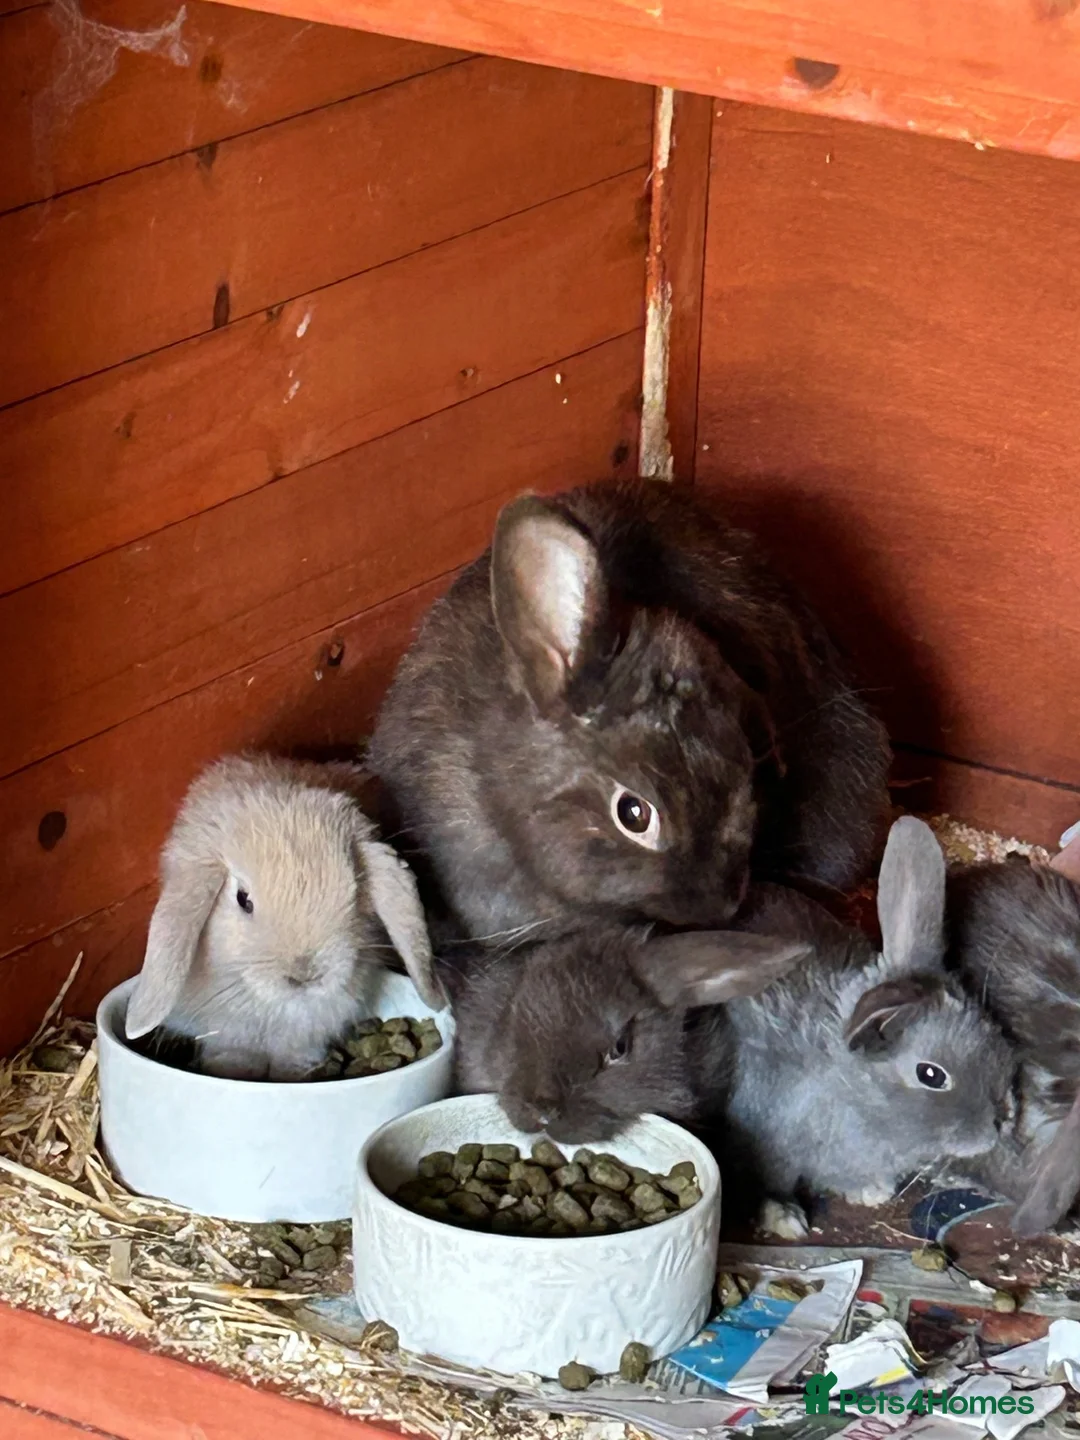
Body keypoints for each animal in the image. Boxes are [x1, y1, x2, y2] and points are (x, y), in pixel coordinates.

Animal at [125, 754, 444, 1081]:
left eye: (356, 891)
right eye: (243, 900)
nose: (305, 975)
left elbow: (294, 1056)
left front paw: (296, 1073)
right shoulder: (232, 1030)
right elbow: (236, 1052)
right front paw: (232, 1070)